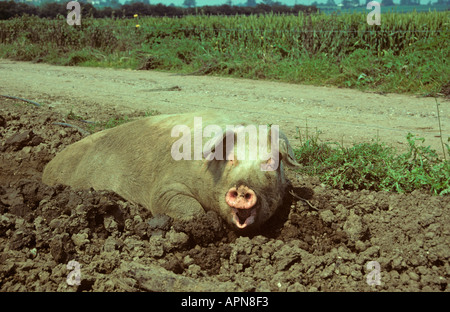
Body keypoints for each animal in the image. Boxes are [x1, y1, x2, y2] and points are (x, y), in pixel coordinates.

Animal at [42, 111, 298, 229]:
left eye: (270, 161)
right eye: (232, 159)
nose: (244, 188)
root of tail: (47, 167)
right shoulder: (164, 188)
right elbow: (189, 210)